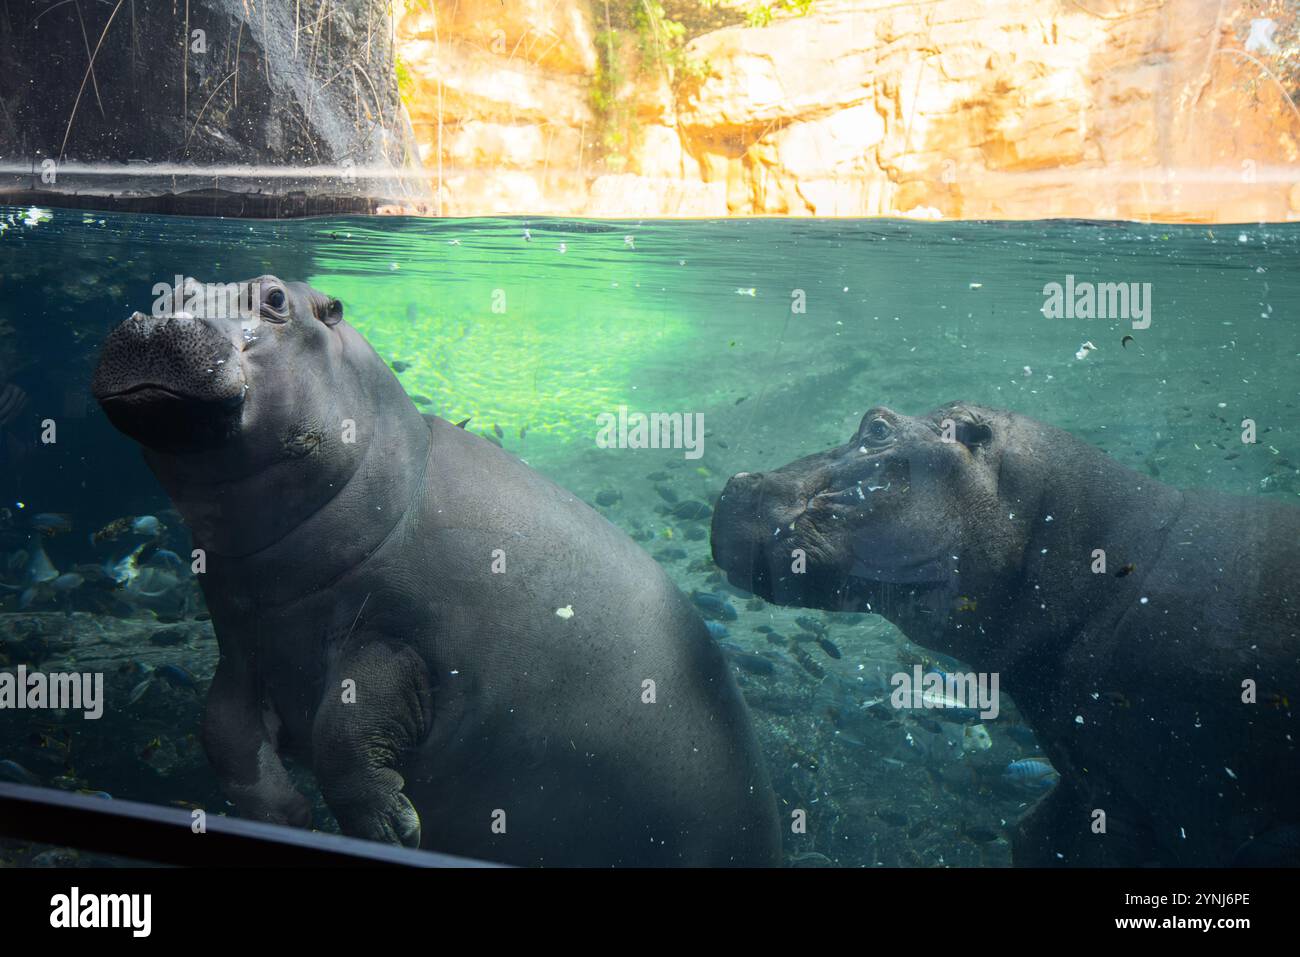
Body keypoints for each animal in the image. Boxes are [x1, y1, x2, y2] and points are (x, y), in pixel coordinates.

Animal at [96, 276, 780, 868]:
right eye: (173, 290)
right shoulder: (243, 640)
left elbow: (341, 733)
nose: (158, 321)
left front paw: (392, 832)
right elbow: (222, 731)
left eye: (274, 299)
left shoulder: (399, 638)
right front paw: (289, 817)